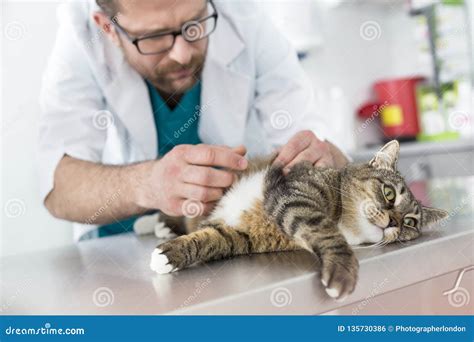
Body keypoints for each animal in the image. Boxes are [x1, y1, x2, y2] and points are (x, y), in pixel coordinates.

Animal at [151, 140, 448, 300]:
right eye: (389, 193)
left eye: (410, 222)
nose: (394, 223)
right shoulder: (295, 196)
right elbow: (328, 234)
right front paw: (342, 270)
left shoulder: (240, 235)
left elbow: (211, 241)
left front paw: (171, 255)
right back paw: (159, 224)